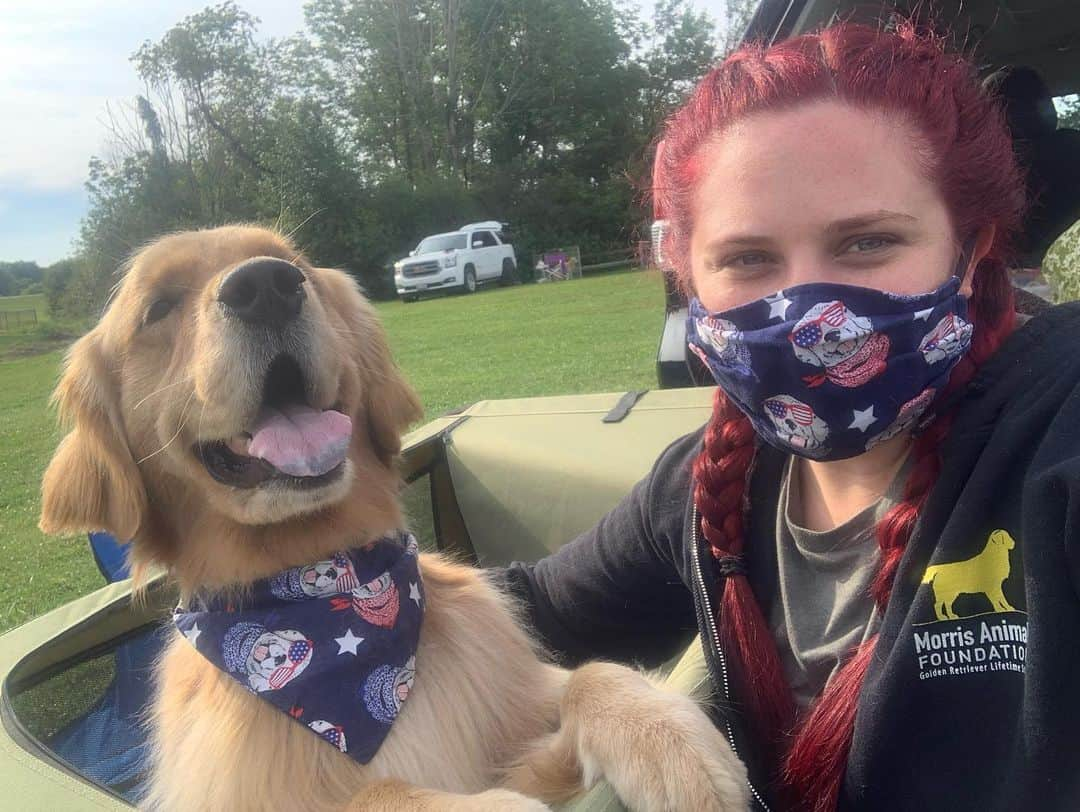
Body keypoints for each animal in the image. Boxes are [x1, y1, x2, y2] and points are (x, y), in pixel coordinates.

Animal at [35, 226, 751, 812]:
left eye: (297, 264)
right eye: (158, 306)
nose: (266, 286)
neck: (326, 588)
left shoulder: (514, 685)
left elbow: (590, 676)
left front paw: (672, 744)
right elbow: (376, 794)